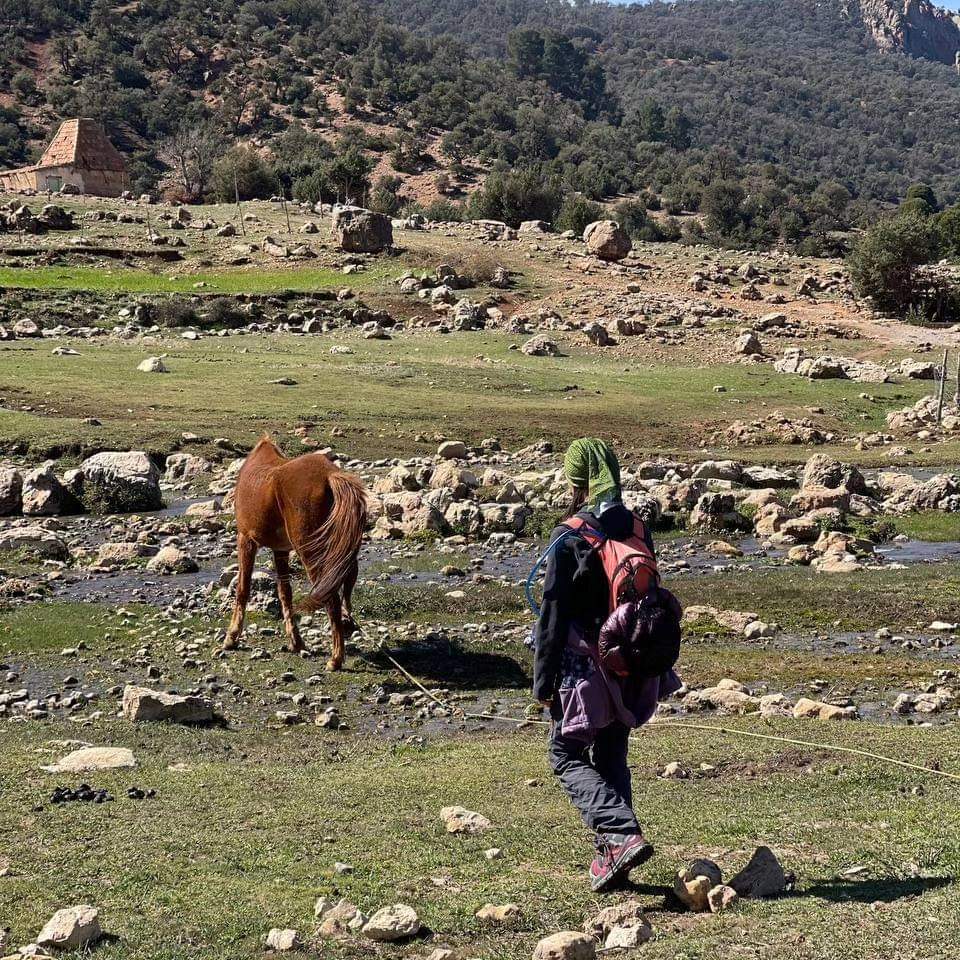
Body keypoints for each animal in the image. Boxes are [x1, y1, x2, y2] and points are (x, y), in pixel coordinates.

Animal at [225, 436, 368, 668]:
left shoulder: (245, 539)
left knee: (331, 600)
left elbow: (242, 589)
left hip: (311, 553)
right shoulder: (280, 550)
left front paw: (231, 638)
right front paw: (296, 641)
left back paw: (335, 659)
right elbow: (285, 593)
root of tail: (329, 475)